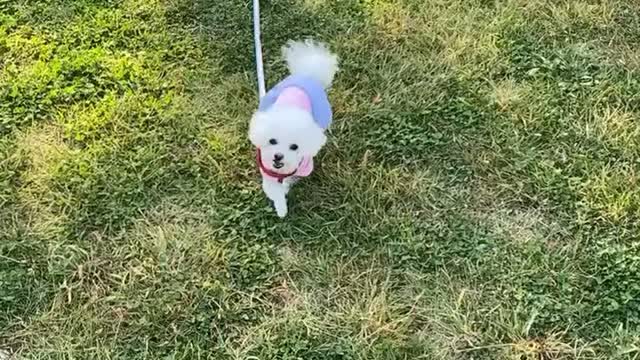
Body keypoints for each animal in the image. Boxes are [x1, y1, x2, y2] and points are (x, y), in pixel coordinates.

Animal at [249, 40, 340, 218]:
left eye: (294, 147)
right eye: (272, 141)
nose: (278, 156)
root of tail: (307, 74)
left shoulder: (303, 168)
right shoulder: (267, 173)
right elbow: (275, 191)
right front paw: (281, 208)